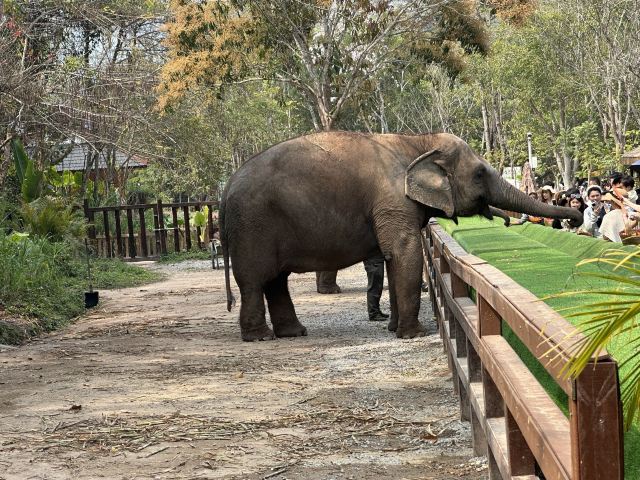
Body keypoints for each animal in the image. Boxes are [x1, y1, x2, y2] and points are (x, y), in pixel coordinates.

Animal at [220, 131, 582, 341]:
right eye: (480, 173)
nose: (577, 215)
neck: (417, 141)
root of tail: (226, 189)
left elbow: (396, 260)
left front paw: (394, 329)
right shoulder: (394, 200)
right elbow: (404, 253)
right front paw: (415, 335)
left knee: (275, 280)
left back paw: (294, 333)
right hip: (253, 226)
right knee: (255, 280)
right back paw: (261, 338)